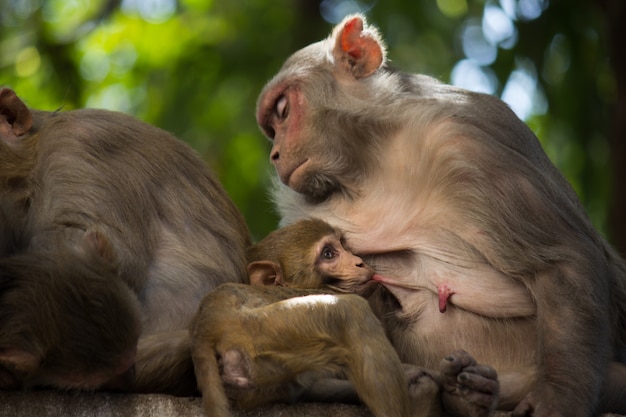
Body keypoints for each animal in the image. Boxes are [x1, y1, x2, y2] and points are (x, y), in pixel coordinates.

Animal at [190, 218, 498, 416]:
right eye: (328, 254)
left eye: (342, 245)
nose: (359, 262)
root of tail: (206, 327)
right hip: (264, 330)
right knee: (349, 313)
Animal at [254, 13, 624, 416]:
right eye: (271, 128)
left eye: (283, 111)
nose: (275, 155)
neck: (371, 163)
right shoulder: (298, 205)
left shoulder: (466, 137)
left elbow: (561, 260)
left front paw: (559, 395)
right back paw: (466, 393)